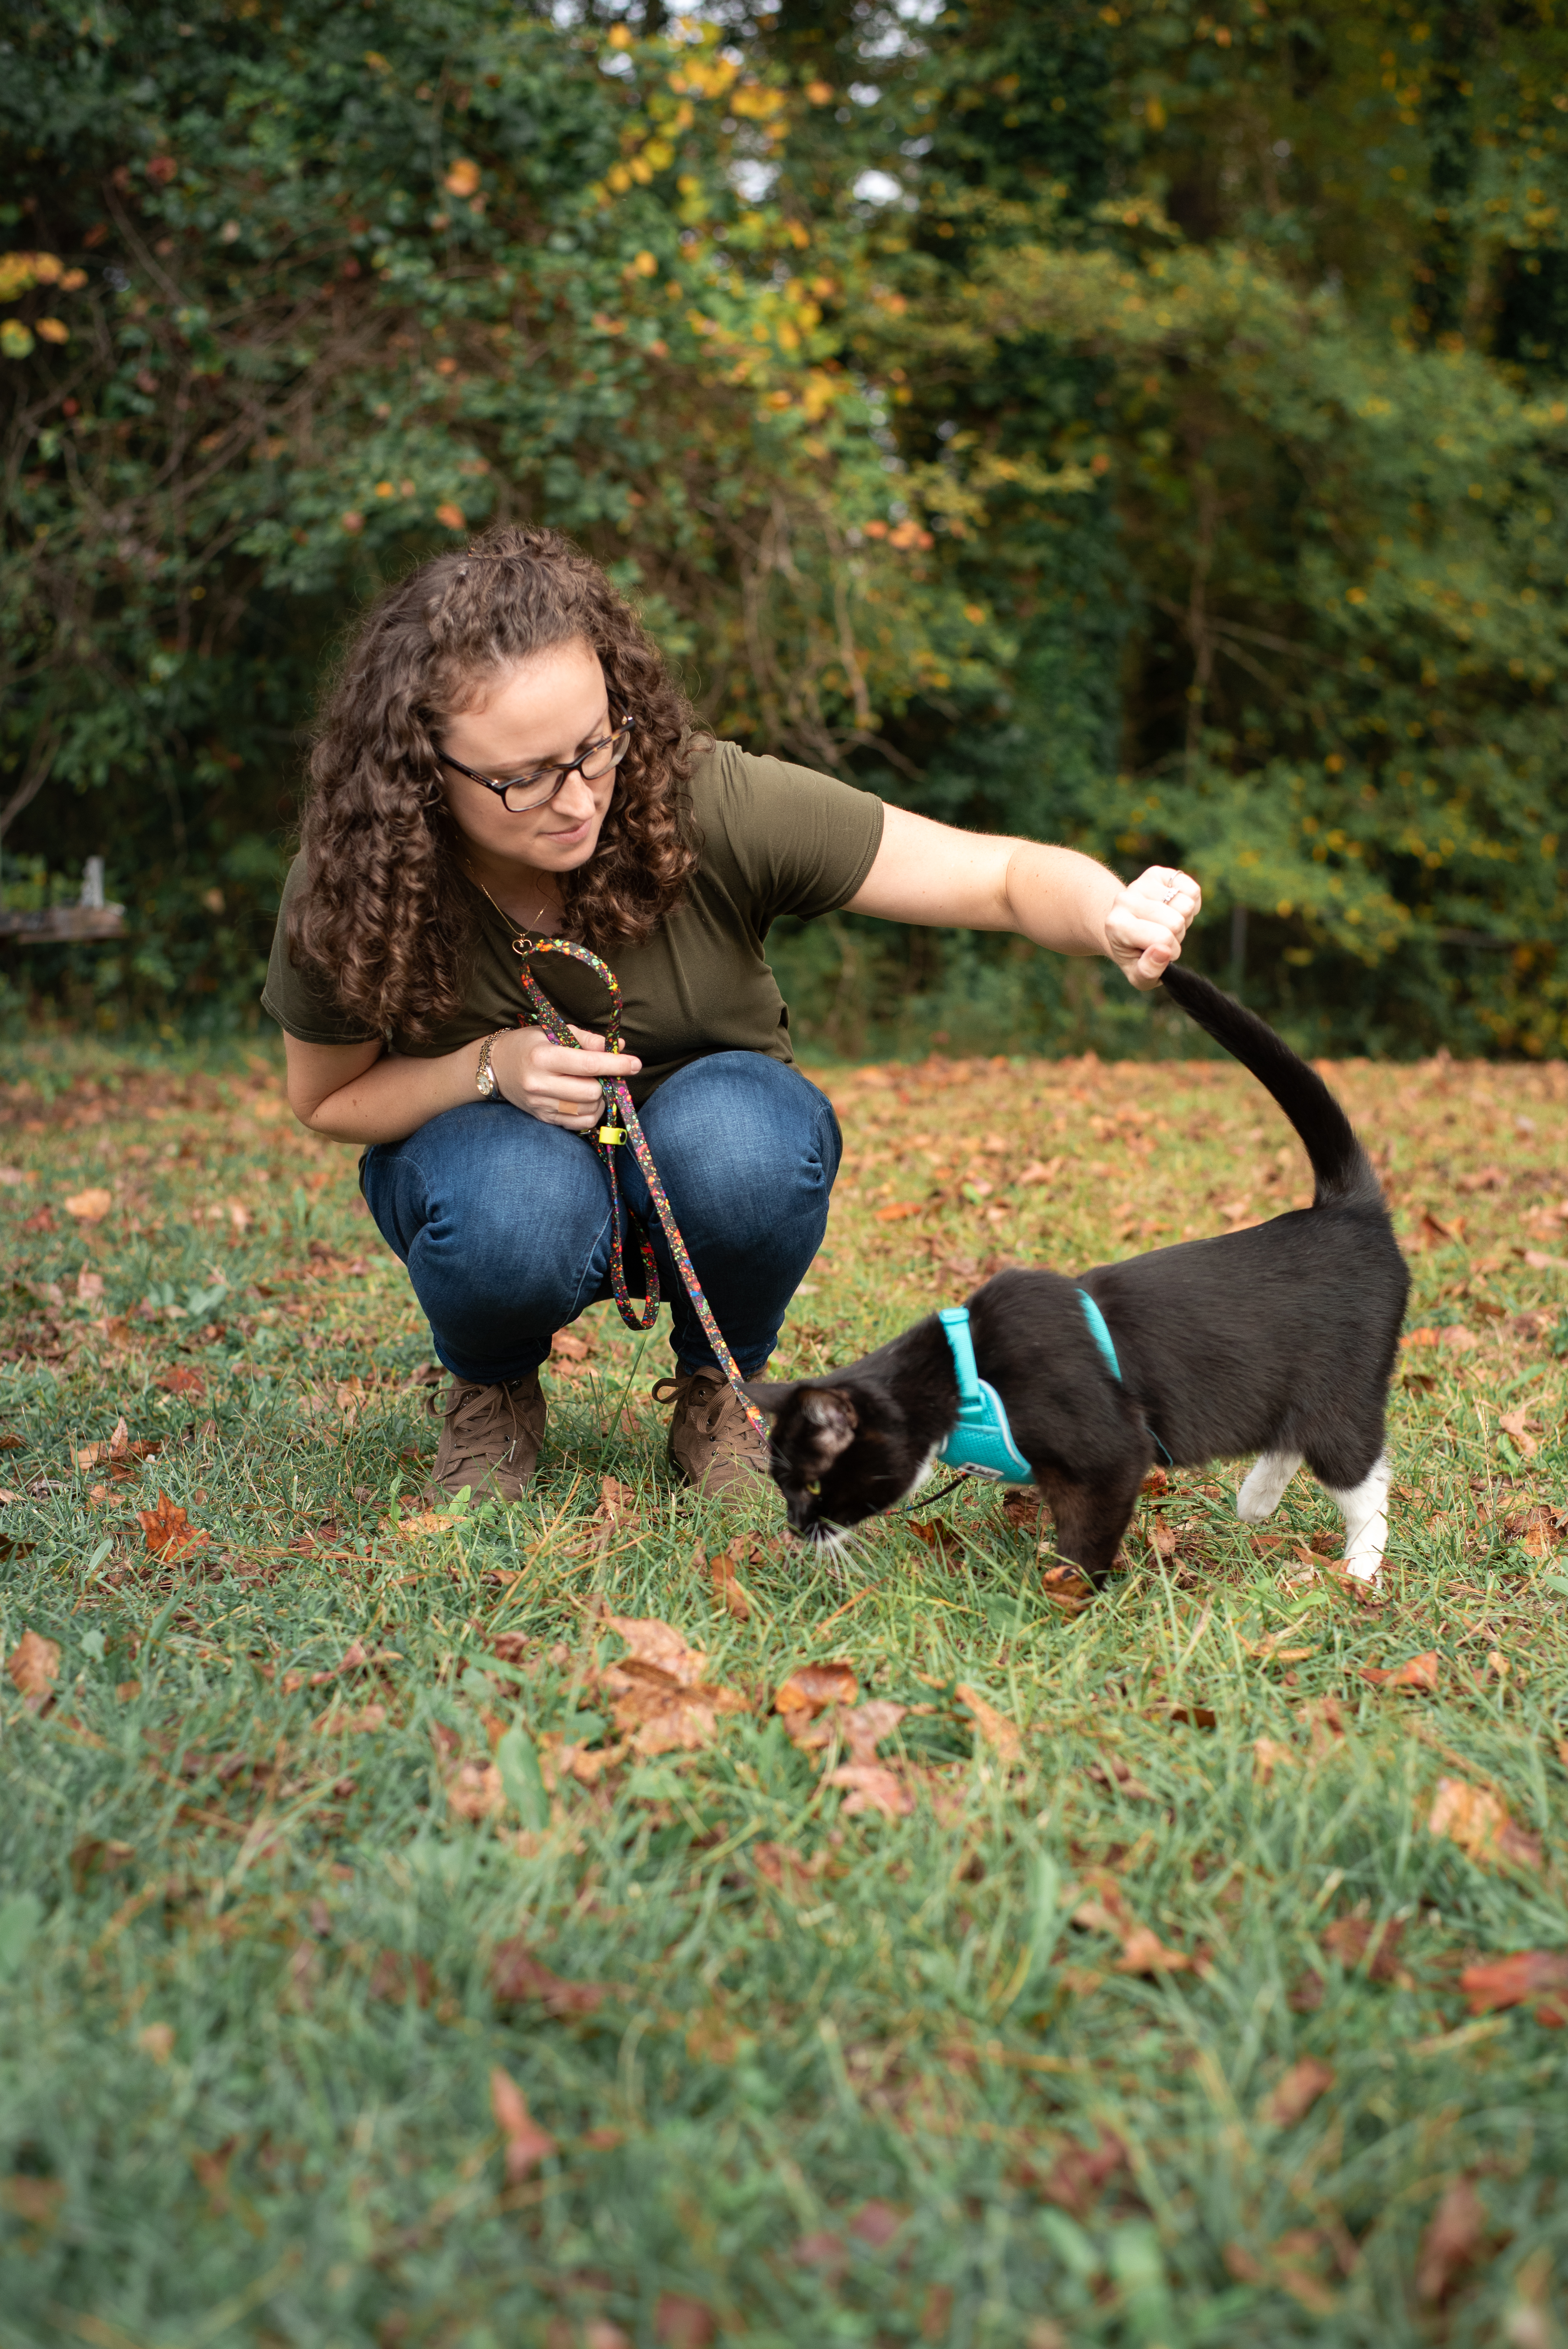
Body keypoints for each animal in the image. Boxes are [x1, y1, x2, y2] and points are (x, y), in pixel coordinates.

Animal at [746, 963, 1408, 1588]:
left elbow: (1087, 1533)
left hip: (1341, 1390)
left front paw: (1064, 1593)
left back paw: (1357, 1570)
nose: (795, 1526)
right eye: (782, 1484)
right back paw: (1257, 1500)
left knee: (1363, 1480)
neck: (965, 1371)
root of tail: (1347, 1206)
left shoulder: (1109, 1452)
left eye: (810, 1484)